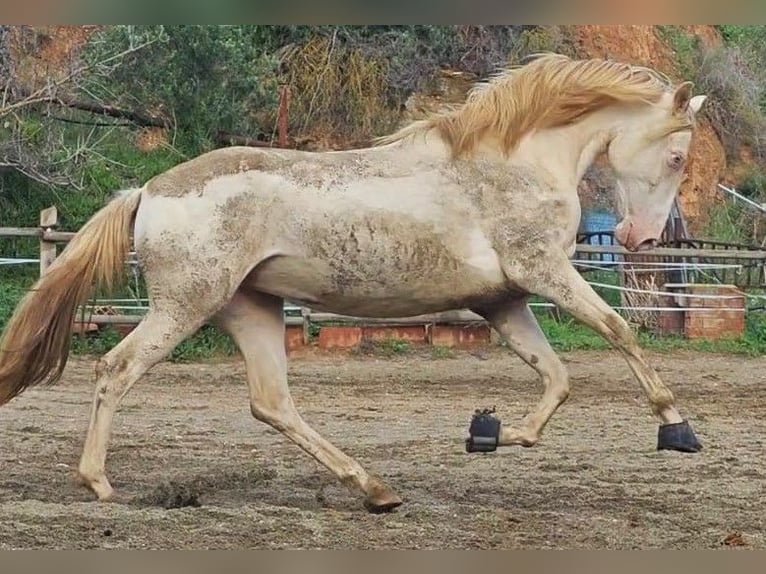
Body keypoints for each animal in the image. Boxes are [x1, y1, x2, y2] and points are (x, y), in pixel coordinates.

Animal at [0, 53, 708, 512]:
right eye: (676, 156)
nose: (641, 240)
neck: (514, 162)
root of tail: (148, 189)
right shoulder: (545, 273)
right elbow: (618, 331)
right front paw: (678, 430)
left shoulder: (503, 302)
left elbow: (557, 379)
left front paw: (490, 433)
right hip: (186, 306)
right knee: (116, 370)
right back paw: (98, 484)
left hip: (251, 309)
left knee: (272, 403)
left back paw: (374, 490)